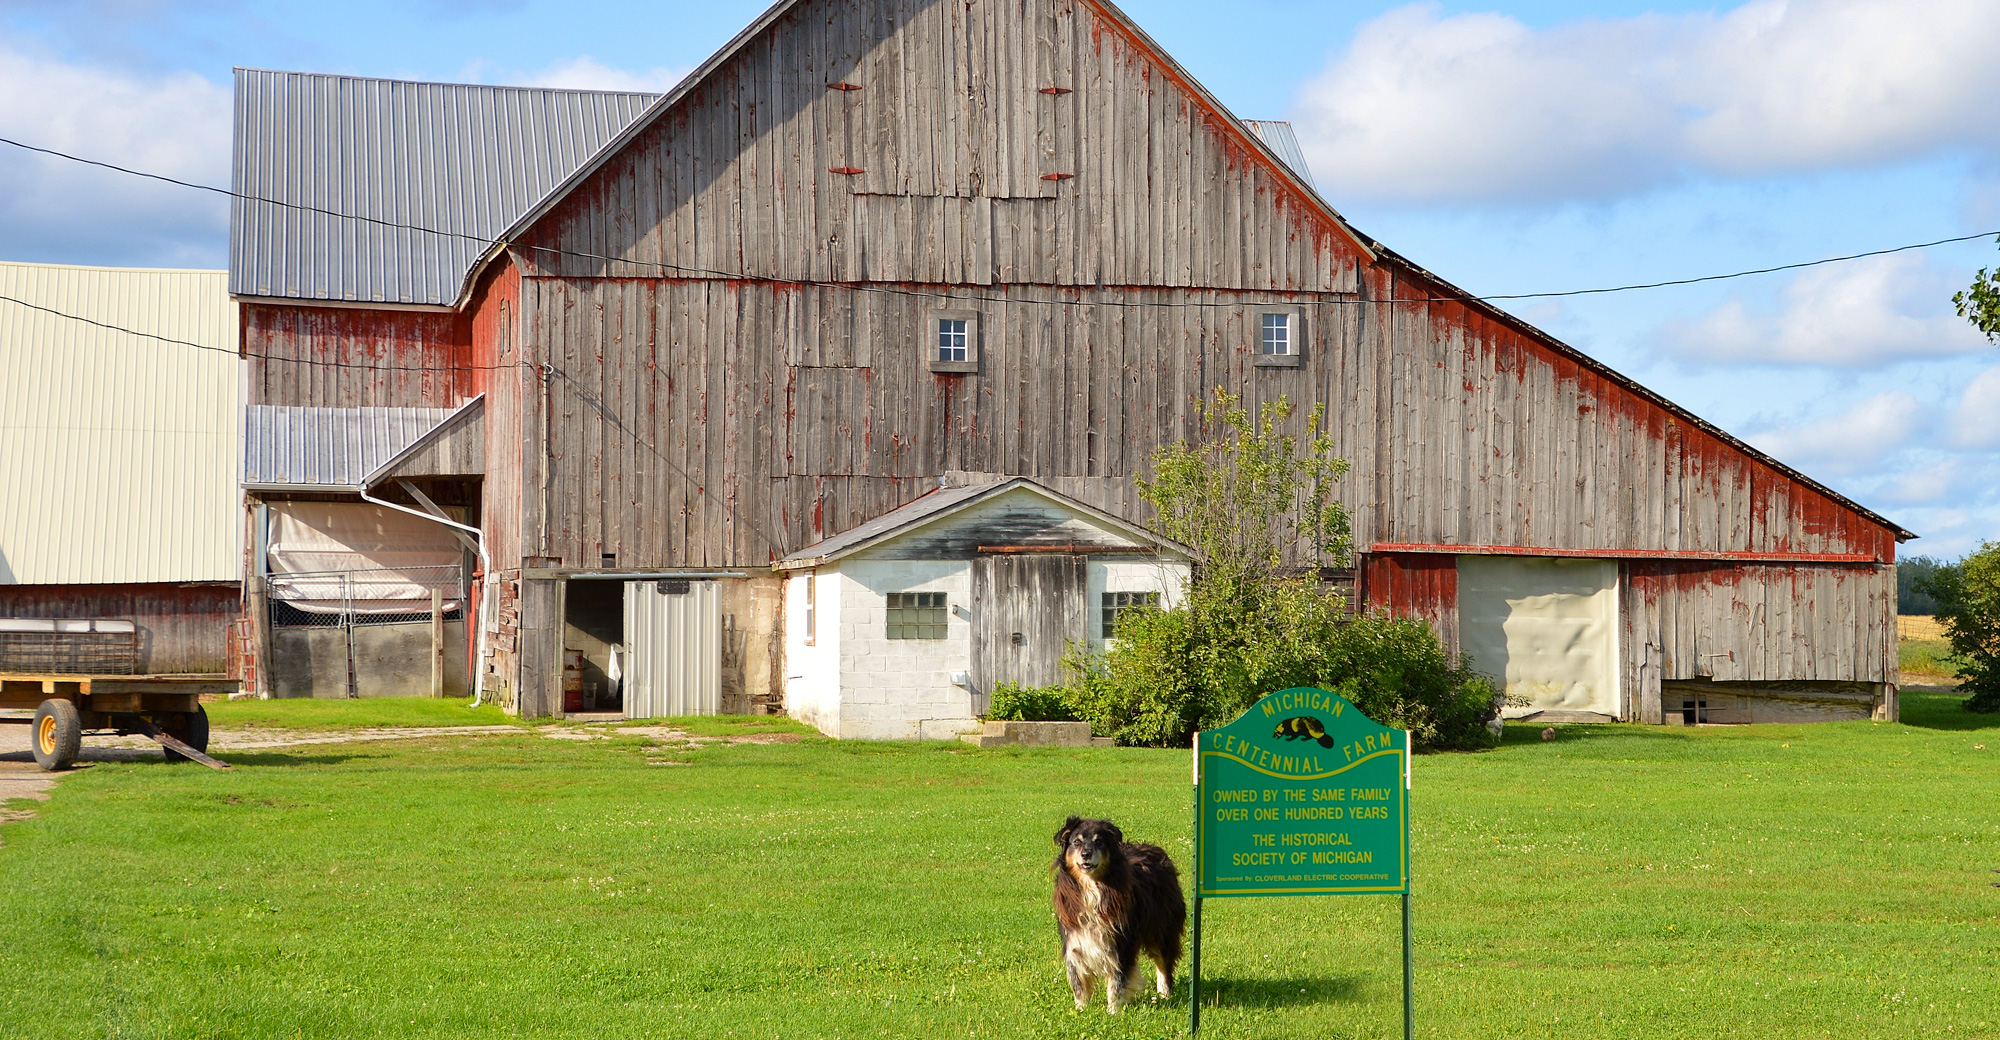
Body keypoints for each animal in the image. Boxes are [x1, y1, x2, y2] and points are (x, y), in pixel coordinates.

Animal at [1056, 816, 1176, 1012]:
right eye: (1076, 842)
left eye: (1099, 841)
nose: (1086, 854)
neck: (1091, 888)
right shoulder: (1075, 940)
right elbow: (1078, 981)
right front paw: (1081, 1009)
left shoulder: (1121, 942)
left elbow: (1117, 981)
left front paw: (1113, 1011)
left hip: (1161, 929)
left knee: (1163, 963)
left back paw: (1164, 994)